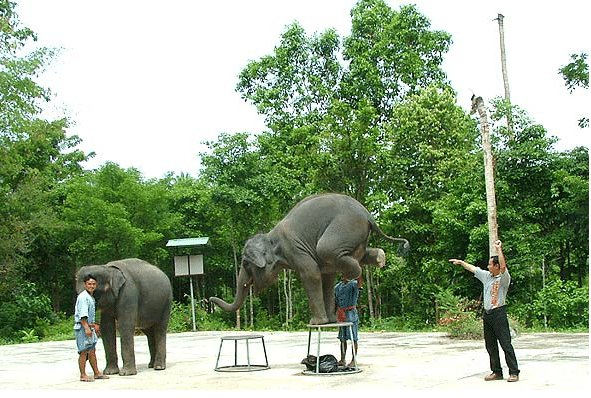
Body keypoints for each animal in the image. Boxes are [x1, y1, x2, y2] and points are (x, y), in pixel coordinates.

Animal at [210, 194, 410, 326]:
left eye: (245, 264)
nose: (211, 300)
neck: (270, 238)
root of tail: (368, 215)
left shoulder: (294, 249)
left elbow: (311, 274)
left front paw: (316, 323)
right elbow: (327, 278)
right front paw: (329, 321)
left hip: (345, 227)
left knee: (326, 249)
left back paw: (352, 274)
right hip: (356, 234)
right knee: (351, 255)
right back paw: (380, 258)